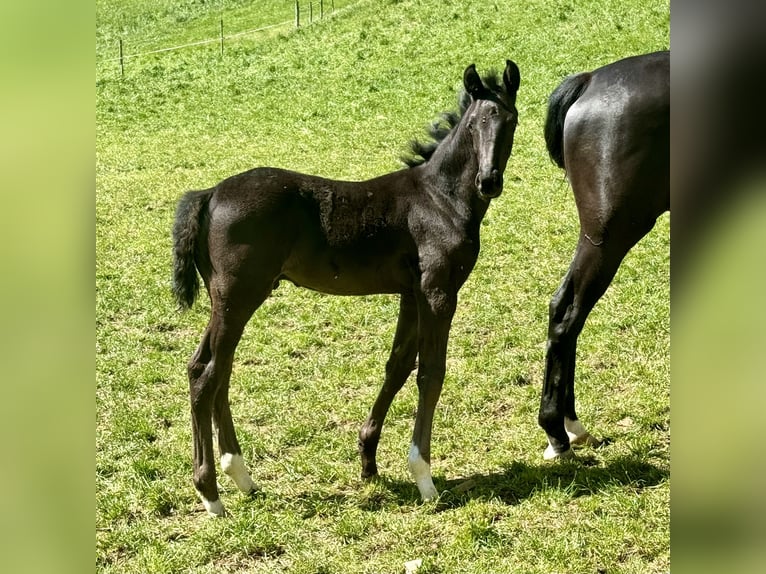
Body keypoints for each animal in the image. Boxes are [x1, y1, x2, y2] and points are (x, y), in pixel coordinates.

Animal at [174, 60, 520, 516]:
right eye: (475, 124)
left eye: (510, 121)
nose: (488, 181)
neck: (440, 199)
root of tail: (210, 193)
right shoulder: (438, 293)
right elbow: (431, 373)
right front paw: (424, 478)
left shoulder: (411, 295)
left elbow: (397, 367)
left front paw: (369, 461)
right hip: (237, 297)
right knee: (206, 372)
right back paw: (211, 494)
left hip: (228, 300)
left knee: (217, 368)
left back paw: (241, 476)